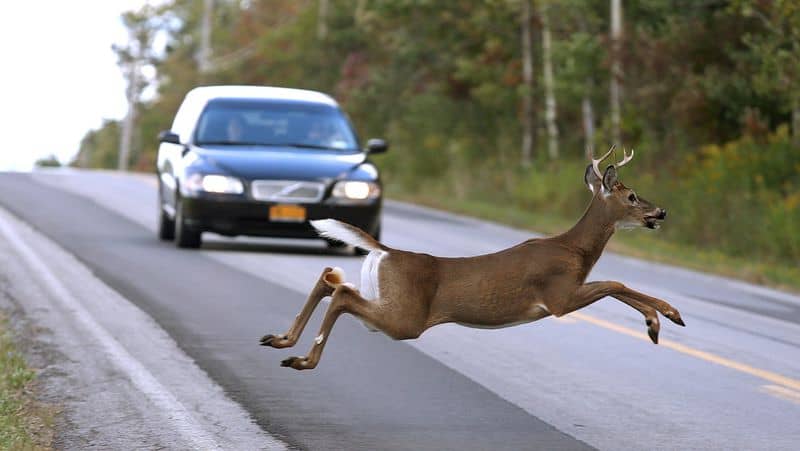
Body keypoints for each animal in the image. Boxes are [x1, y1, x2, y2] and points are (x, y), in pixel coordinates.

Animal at [260, 147, 684, 370]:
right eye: (631, 196)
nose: (661, 212)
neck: (575, 250)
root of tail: (387, 251)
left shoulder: (565, 294)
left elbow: (616, 284)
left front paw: (660, 320)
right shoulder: (559, 296)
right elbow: (615, 282)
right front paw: (663, 317)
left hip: (388, 300)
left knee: (331, 278)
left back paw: (281, 340)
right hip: (406, 318)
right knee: (342, 294)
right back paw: (303, 360)